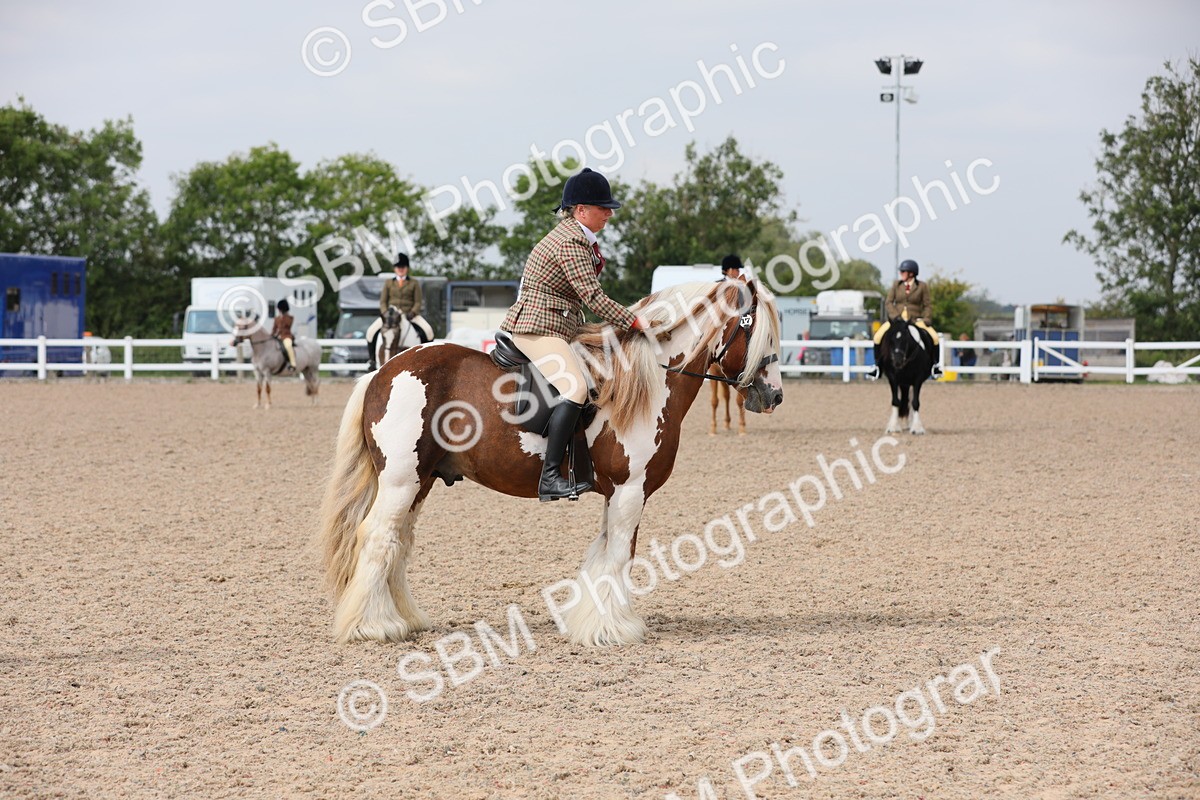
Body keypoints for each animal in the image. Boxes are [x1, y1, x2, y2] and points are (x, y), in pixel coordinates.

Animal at [318, 280, 783, 646]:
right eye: (760, 334)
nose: (774, 396)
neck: (645, 379)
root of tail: (383, 372)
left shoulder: (615, 494)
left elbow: (602, 554)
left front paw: (590, 623)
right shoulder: (630, 491)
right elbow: (620, 556)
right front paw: (615, 630)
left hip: (421, 482)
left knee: (398, 541)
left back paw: (405, 619)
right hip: (402, 482)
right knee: (378, 538)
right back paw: (374, 626)